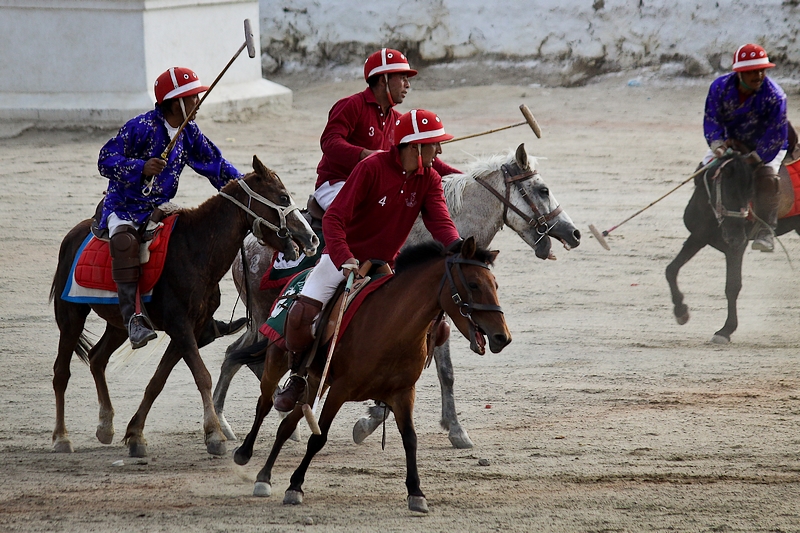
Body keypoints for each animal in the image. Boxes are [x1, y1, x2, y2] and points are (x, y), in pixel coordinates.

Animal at [48, 155, 318, 458]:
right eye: (283, 196)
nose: (311, 238)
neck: (195, 250)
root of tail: (74, 234)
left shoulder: (191, 327)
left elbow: (158, 381)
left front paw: (136, 435)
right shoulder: (180, 326)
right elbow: (202, 375)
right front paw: (214, 435)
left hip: (118, 322)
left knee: (97, 358)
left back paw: (105, 426)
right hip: (70, 314)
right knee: (61, 372)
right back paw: (61, 437)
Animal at [209, 143, 580, 446]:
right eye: (543, 189)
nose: (574, 233)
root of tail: (247, 243)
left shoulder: (437, 314)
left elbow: (445, 371)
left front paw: (454, 427)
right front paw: (371, 419)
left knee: (240, 357)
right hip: (267, 318)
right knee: (243, 357)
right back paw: (226, 425)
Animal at [231, 237, 510, 512]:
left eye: (495, 284)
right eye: (473, 284)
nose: (502, 337)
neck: (391, 328)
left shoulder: (403, 393)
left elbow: (410, 439)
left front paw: (416, 492)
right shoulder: (340, 390)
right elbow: (318, 438)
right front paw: (295, 486)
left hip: (316, 382)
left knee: (287, 423)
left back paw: (264, 476)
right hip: (277, 359)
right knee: (265, 402)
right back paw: (245, 452)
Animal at [664, 149, 800, 340]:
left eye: (751, 192)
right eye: (728, 194)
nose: (736, 236)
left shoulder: (735, 248)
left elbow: (732, 286)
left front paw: (725, 330)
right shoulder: (698, 236)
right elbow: (671, 269)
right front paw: (681, 312)